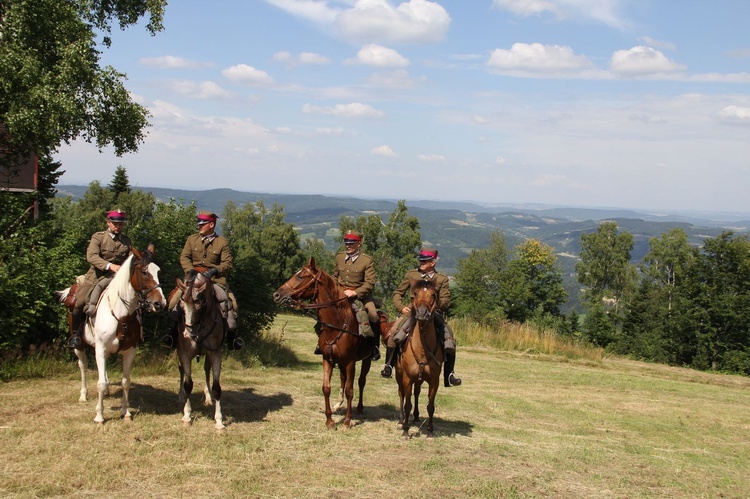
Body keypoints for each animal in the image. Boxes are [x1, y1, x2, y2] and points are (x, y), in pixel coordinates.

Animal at [56, 246, 167, 426]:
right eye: (144, 272)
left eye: (158, 271)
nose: (159, 303)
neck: (122, 315)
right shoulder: (100, 349)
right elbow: (100, 383)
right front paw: (99, 416)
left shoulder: (129, 351)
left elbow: (125, 382)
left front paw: (126, 412)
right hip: (80, 346)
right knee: (83, 366)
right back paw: (83, 395)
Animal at [175, 270, 225, 430]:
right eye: (181, 304)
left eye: (200, 305)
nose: (188, 333)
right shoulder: (184, 354)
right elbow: (188, 384)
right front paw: (187, 415)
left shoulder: (215, 353)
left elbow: (216, 387)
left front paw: (219, 421)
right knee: (181, 371)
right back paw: (181, 396)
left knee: (207, 370)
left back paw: (208, 397)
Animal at [274, 258, 382, 430]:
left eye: (301, 276)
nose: (277, 294)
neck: (336, 324)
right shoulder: (327, 359)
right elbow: (326, 388)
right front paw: (330, 421)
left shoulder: (350, 362)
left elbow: (351, 390)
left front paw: (347, 421)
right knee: (343, 379)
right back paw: (338, 404)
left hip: (366, 360)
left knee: (361, 381)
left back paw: (359, 408)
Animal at [396, 280, 444, 440]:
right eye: (415, 293)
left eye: (433, 294)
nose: (422, 314)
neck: (422, 349)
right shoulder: (407, 378)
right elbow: (407, 404)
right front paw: (405, 430)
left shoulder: (434, 381)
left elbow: (430, 406)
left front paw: (429, 431)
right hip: (399, 375)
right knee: (401, 394)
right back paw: (401, 419)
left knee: (416, 393)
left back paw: (416, 416)